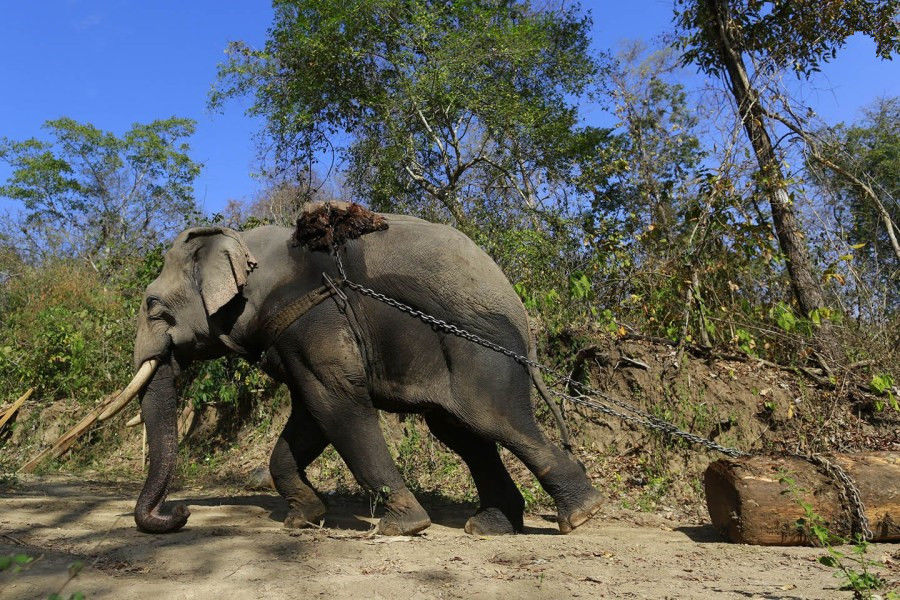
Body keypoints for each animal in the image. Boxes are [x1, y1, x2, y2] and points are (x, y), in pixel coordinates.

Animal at [118, 207, 596, 540]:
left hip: (481, 353)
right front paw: (303, 520)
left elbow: (336, 402)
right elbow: (310, 415)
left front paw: (404, 527)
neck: (242, 241)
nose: (181, 513)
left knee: (495, 421)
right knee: (462, 435)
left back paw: (581, 515)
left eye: (153, 306)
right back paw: (491, 527)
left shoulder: (315, 314)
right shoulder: (295, 333)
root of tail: (525, 325)